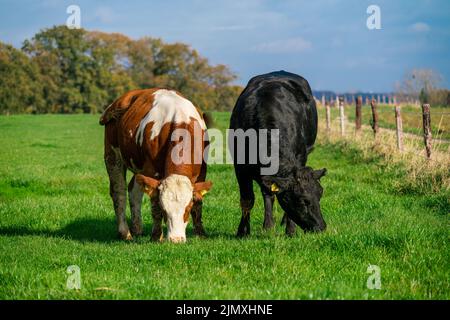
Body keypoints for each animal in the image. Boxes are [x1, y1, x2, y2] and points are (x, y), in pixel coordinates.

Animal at [101, 87, 214, 242]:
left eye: (187, 208)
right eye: (164, 209)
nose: (176, 239)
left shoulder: (202, 171)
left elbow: (198, 202)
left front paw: (200, 233)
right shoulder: (151, 171)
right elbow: (155, 207)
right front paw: (156, 236)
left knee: (133, 190)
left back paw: (137, 229)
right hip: (113, 155)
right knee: (119, 192)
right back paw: (125, 233)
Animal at [229, 71, 326, 236]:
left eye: (320, 194)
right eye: (302, 200)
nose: (321, 227)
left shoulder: (299, 158)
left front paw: (290, 231)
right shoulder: (240, 166)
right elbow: (248, 199)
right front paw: (244, 231)